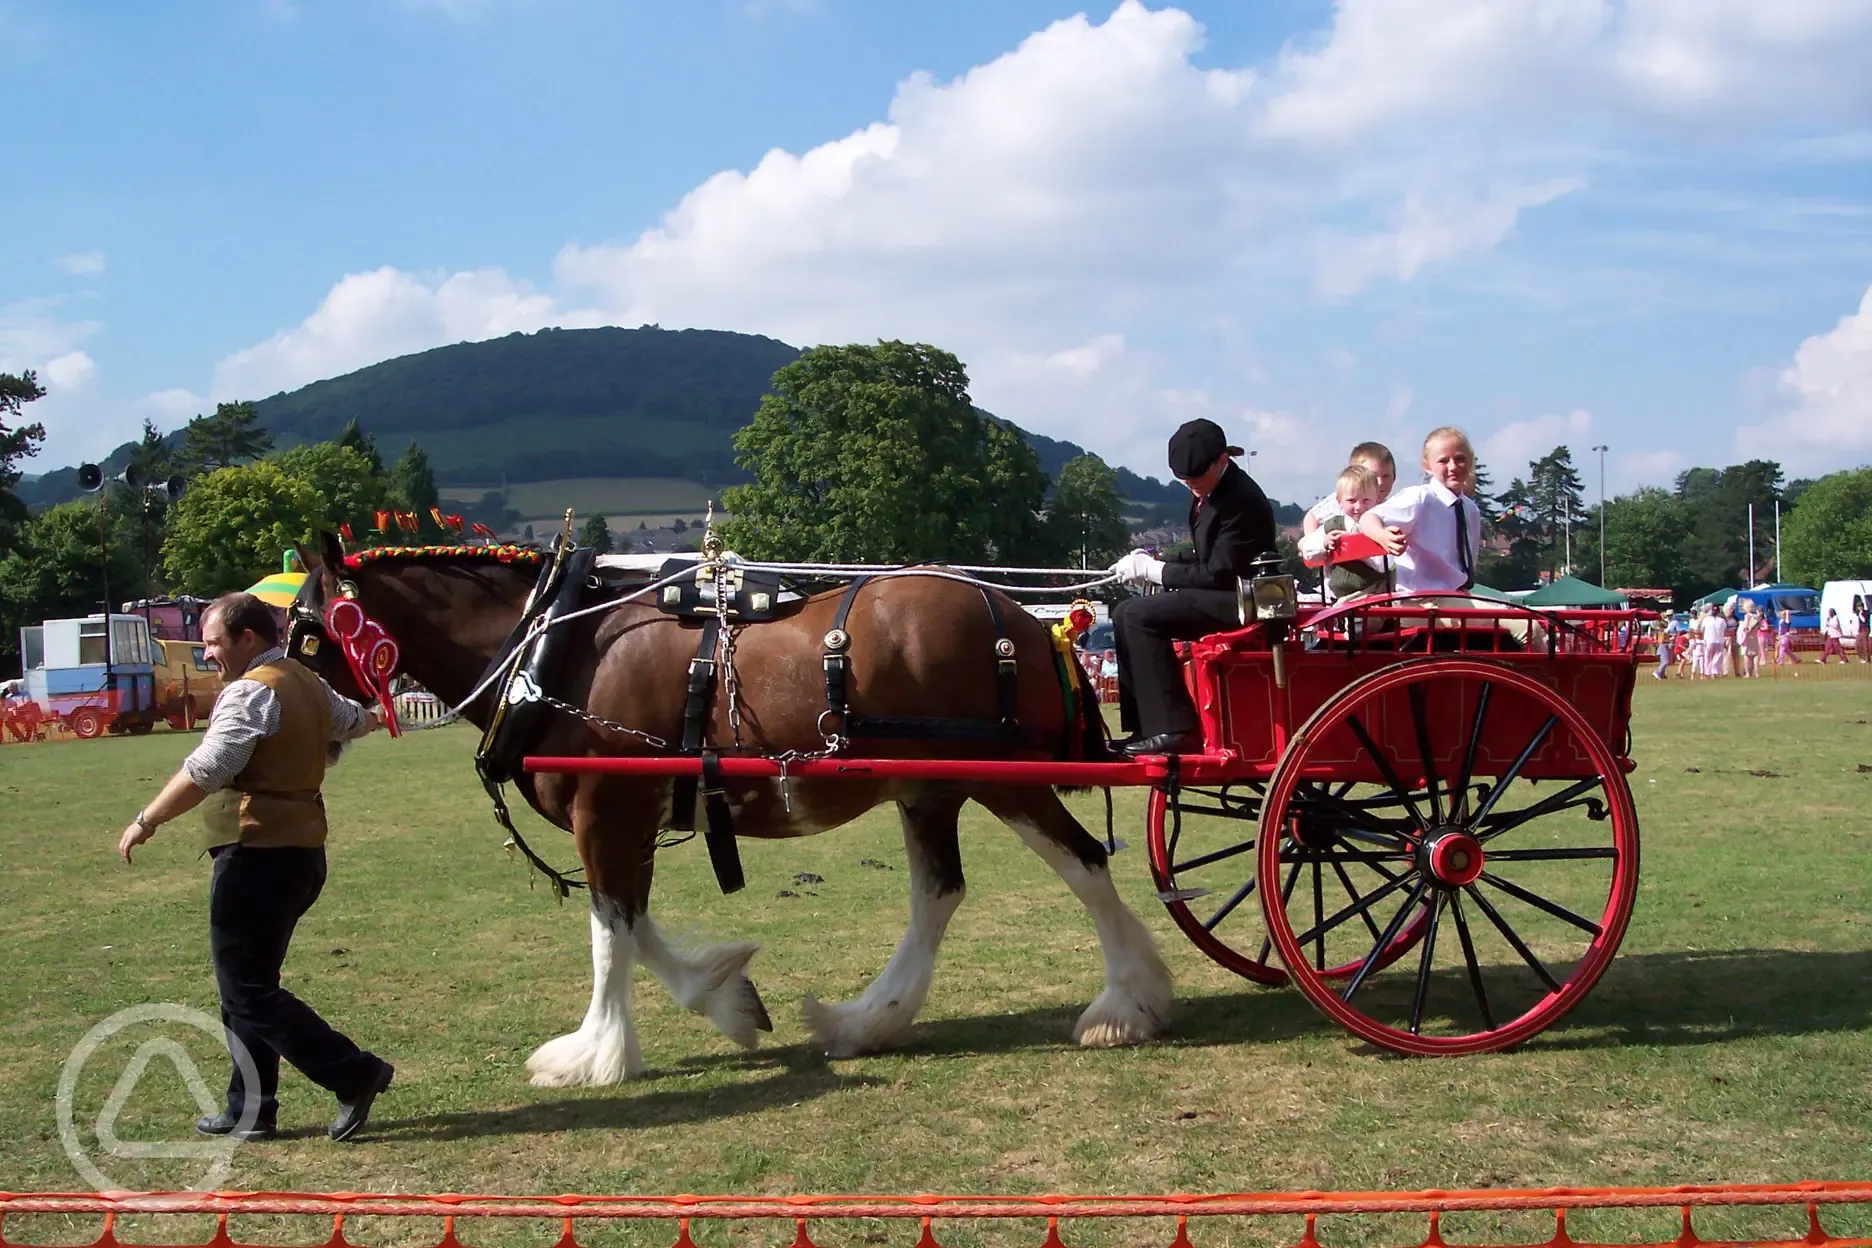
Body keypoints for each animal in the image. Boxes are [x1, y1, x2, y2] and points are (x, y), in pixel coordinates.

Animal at [292, 531, 1168, 1085]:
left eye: (301, 628)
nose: (287, 710)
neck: (553, 646)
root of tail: (1026, 620)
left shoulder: (606, 810)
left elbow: (610, 935)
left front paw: (595, 1055)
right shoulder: (628, 818)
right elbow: (634, 924)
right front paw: (726, 998)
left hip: (1004, 777)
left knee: (1083, 864)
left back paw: (1128, 1003)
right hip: (927, 789)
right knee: (939, 894)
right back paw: (866, 1021)